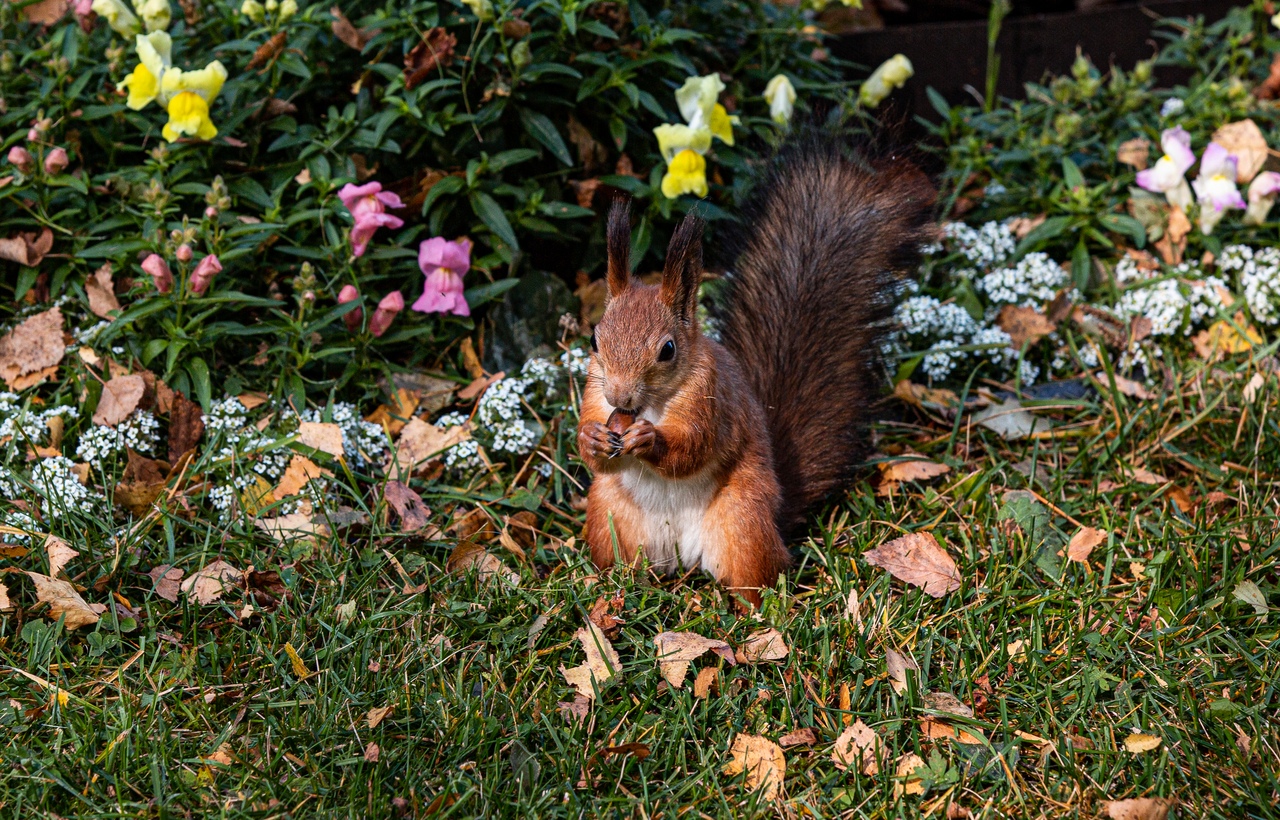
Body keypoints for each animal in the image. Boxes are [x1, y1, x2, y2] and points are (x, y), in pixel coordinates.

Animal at [576, 134, 936, 603]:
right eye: (594, 340)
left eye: (668, 350)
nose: (618, 397)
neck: (651, 404)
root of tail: (680, 556)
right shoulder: (592, 391)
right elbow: (593, 451)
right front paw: (592, 437)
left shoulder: (711, 400)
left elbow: (692, 449)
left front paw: (649, 439)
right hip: (611, 520)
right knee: (620, 564)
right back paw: (608, 590)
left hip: (742, 520)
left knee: (756, 579)